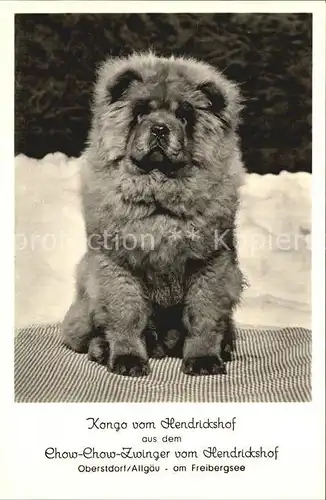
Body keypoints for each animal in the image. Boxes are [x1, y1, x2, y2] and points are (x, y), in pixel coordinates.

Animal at [62, 52, 244, 376]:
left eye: (184, 116)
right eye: (141, 112)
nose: (160, 128)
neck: (159, 197)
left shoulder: (210, 264)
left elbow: (203, 317)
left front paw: (204, 360)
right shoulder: (118, 264)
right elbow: (126, 315)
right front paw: (128, 360)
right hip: (85, 301)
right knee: (91, 330)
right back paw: (101, 350)